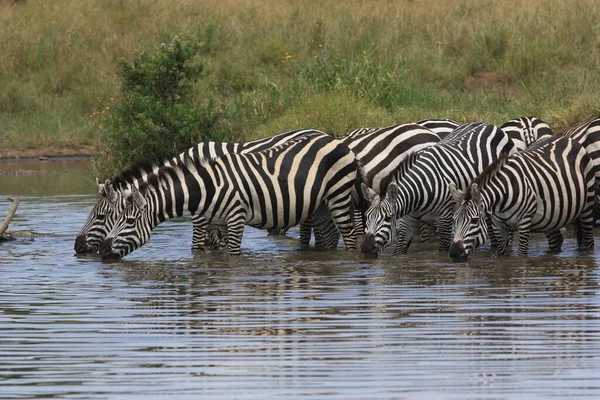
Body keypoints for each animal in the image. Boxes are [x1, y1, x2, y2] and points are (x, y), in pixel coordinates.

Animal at [100, 130, 358, 258]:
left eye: (129, 221)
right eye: (115, 218)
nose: (102, 250)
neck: (205, 188)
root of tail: (333, 139)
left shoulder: (235, 217)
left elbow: (233, 255)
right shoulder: (216, 221)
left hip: (338, 196)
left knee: (350, 237)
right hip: (320, 205)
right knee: (329, 238)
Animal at [360, 122, 516, 256]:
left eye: (387, 218)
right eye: (367, 217)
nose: (366, 249)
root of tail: (490, 125)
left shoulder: (445, 217)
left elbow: (442, 250)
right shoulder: (407, 219)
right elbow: (400, 250)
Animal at [450, 134, 596, 260]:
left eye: (474, 221)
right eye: (454, 220)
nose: (455, 253)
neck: (502, 199)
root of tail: (568, 138)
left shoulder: (524, 223)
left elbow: (521, 255)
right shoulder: (498, 225)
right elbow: (501, 256)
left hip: (587, 205)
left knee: (589, 240)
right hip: (552, 216)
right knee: (556, 241)